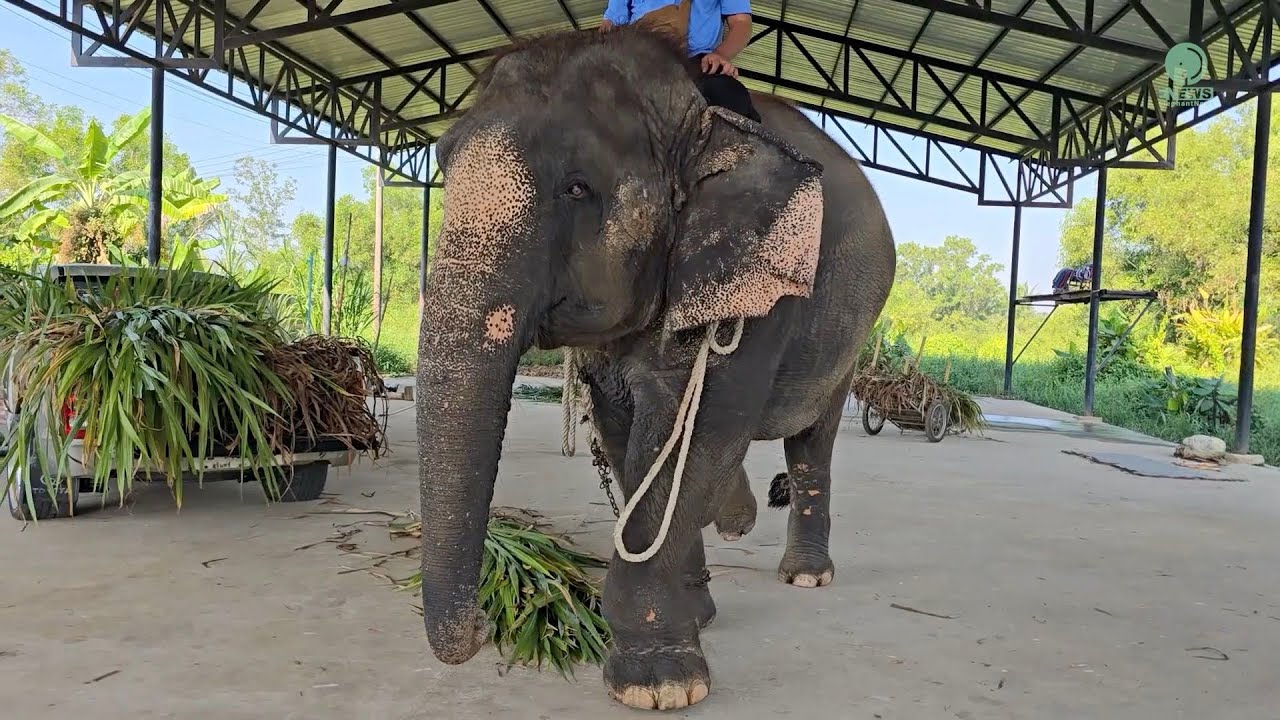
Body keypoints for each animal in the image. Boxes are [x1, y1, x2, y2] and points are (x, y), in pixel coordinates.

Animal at [416, 24, 896, 711]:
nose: (484, 624)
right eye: (441, 166)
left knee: (812, 440)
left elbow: (693, 434)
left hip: (848, 340)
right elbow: (630, 437)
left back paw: (805, 575)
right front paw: (690, 622)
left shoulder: (756, 286)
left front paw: (659, 686)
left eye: (577, 187)